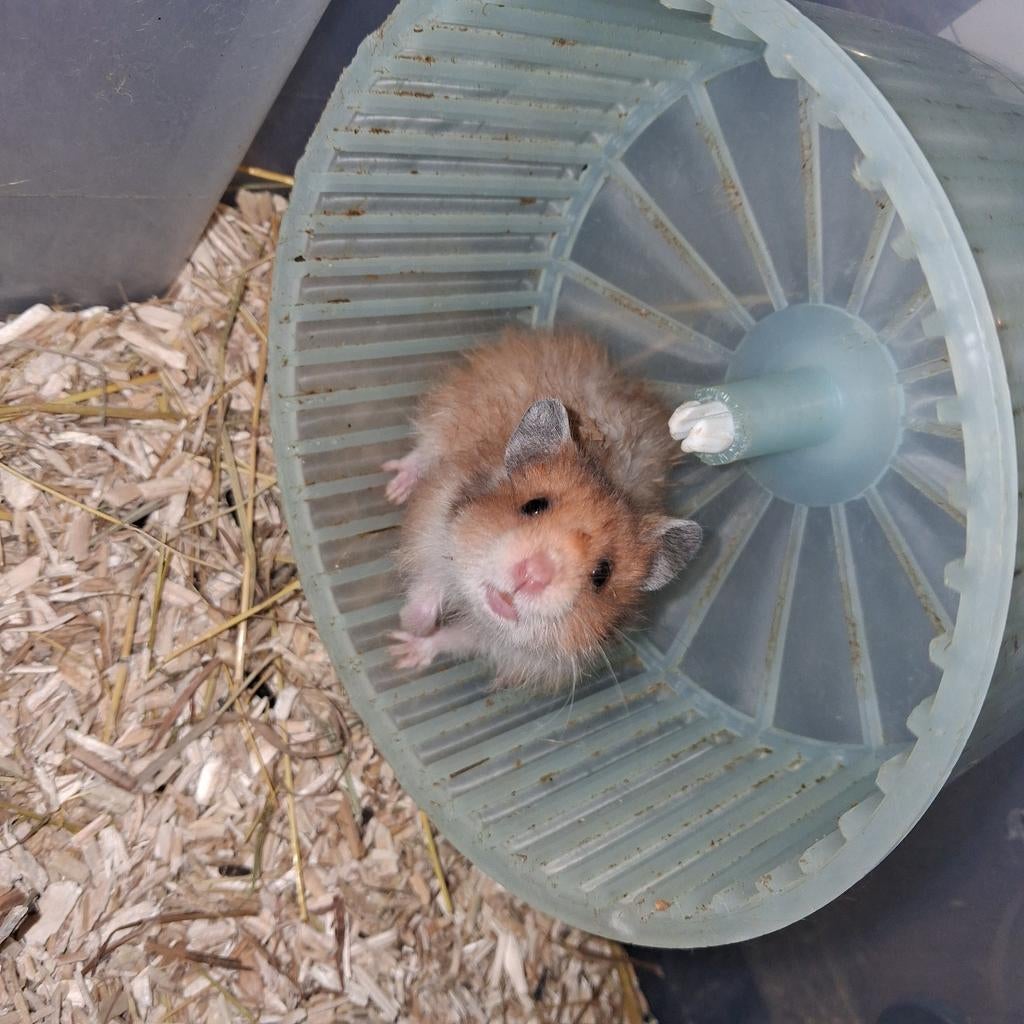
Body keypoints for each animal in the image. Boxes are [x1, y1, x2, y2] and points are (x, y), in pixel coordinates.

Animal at [382, 326, 702, 690]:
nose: (533, 575)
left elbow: (454, 639)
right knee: (423, 449)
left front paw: (406, 651)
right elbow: (428, 586)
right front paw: (406, 628)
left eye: (602, 574)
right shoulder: (433, 524)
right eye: (533, 506)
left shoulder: (500, 644)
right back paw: (396, 487)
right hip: (448, 410)